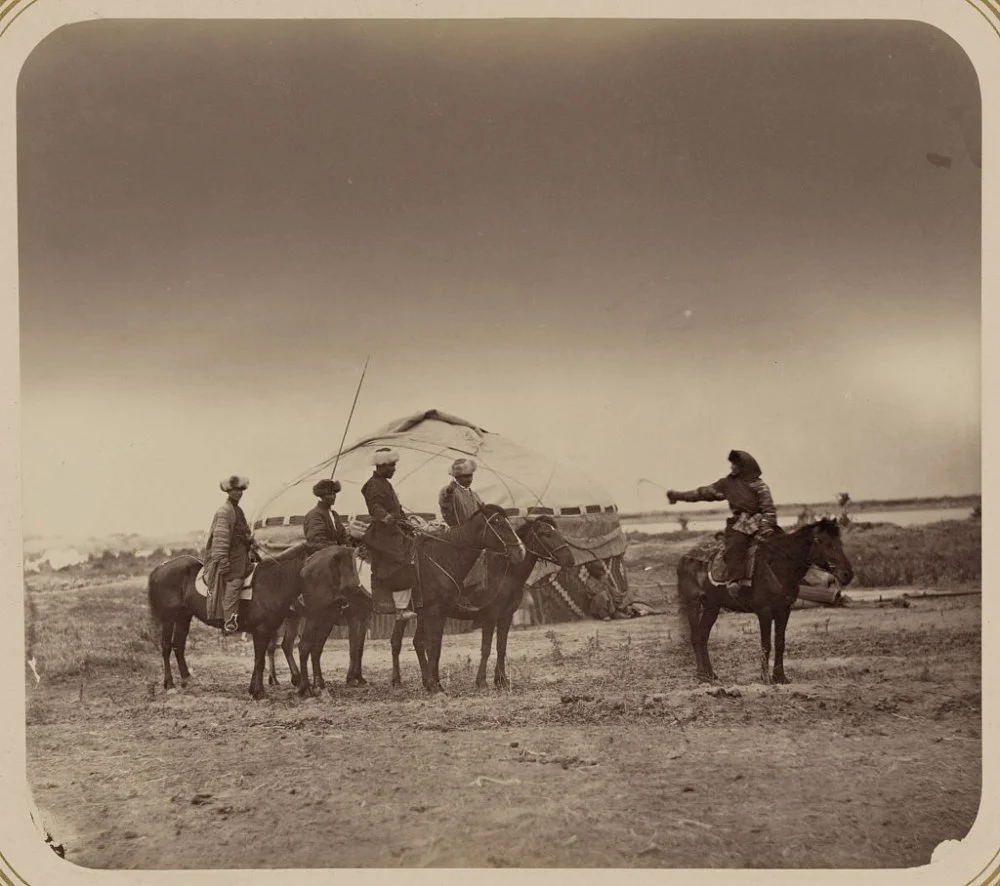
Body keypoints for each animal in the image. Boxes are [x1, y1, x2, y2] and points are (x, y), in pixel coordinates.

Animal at [145, 544, 356, 704]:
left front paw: (254, 690)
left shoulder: (267, 630)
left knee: (178, 646)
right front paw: (260, 692)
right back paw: (170, 684)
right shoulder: (261, 630)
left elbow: (260, 659)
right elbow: (261, 661)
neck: (273, 582)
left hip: (184, 617)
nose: (344, 600)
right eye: (333, 567)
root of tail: (160, 568)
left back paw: (187, 680)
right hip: (168, 617)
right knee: (166, 646)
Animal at [390, 516, 580, 692]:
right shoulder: (489, 616)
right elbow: (486, 648)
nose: (570, 560)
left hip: (424, 615)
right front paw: (482, 681)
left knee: (417, 642)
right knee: (398, 642)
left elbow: (501, 647)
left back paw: (425, 682)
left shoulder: (506, 616)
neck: (504, 572)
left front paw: (501, 680)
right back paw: (398, 681)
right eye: (546, 533)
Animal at [676, 520, 856, 688]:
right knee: (696, 637)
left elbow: (780, 642)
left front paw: (780, 677)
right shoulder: (765, 612)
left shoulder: (784, 610)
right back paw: (701, 675)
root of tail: (685, 557)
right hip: (693, 603)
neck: (779, 566)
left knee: (703, 636)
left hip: (712, 606)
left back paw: (710, 674)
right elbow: (766, 644)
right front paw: (766, 678)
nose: (847, 574)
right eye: (821, 541)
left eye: (839, 542)